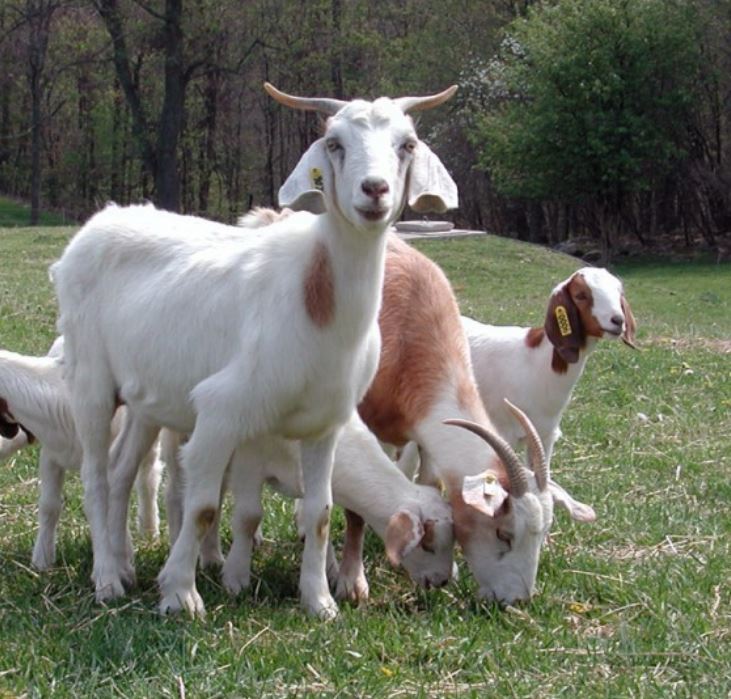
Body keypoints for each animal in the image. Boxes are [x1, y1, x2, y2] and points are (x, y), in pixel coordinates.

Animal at [0, 338, 161, 571]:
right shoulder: (51, 456)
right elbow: (49, 505)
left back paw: (149, 530)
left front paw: (122, 555)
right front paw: (42, 559)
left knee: (149, 476)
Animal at [51, 83, 458, 617]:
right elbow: (204, 508)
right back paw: (106, 582)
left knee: (120, 471)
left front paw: (319, 602)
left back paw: (123, 566)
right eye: (334, 143)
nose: (374, 191)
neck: (317, 303)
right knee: (95, 476)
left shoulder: (324, 424)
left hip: (146, 399)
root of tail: (99, 221)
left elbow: (321, 511)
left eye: (407, 144)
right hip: (91, 380)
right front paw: (181, 595)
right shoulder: (221, 411)